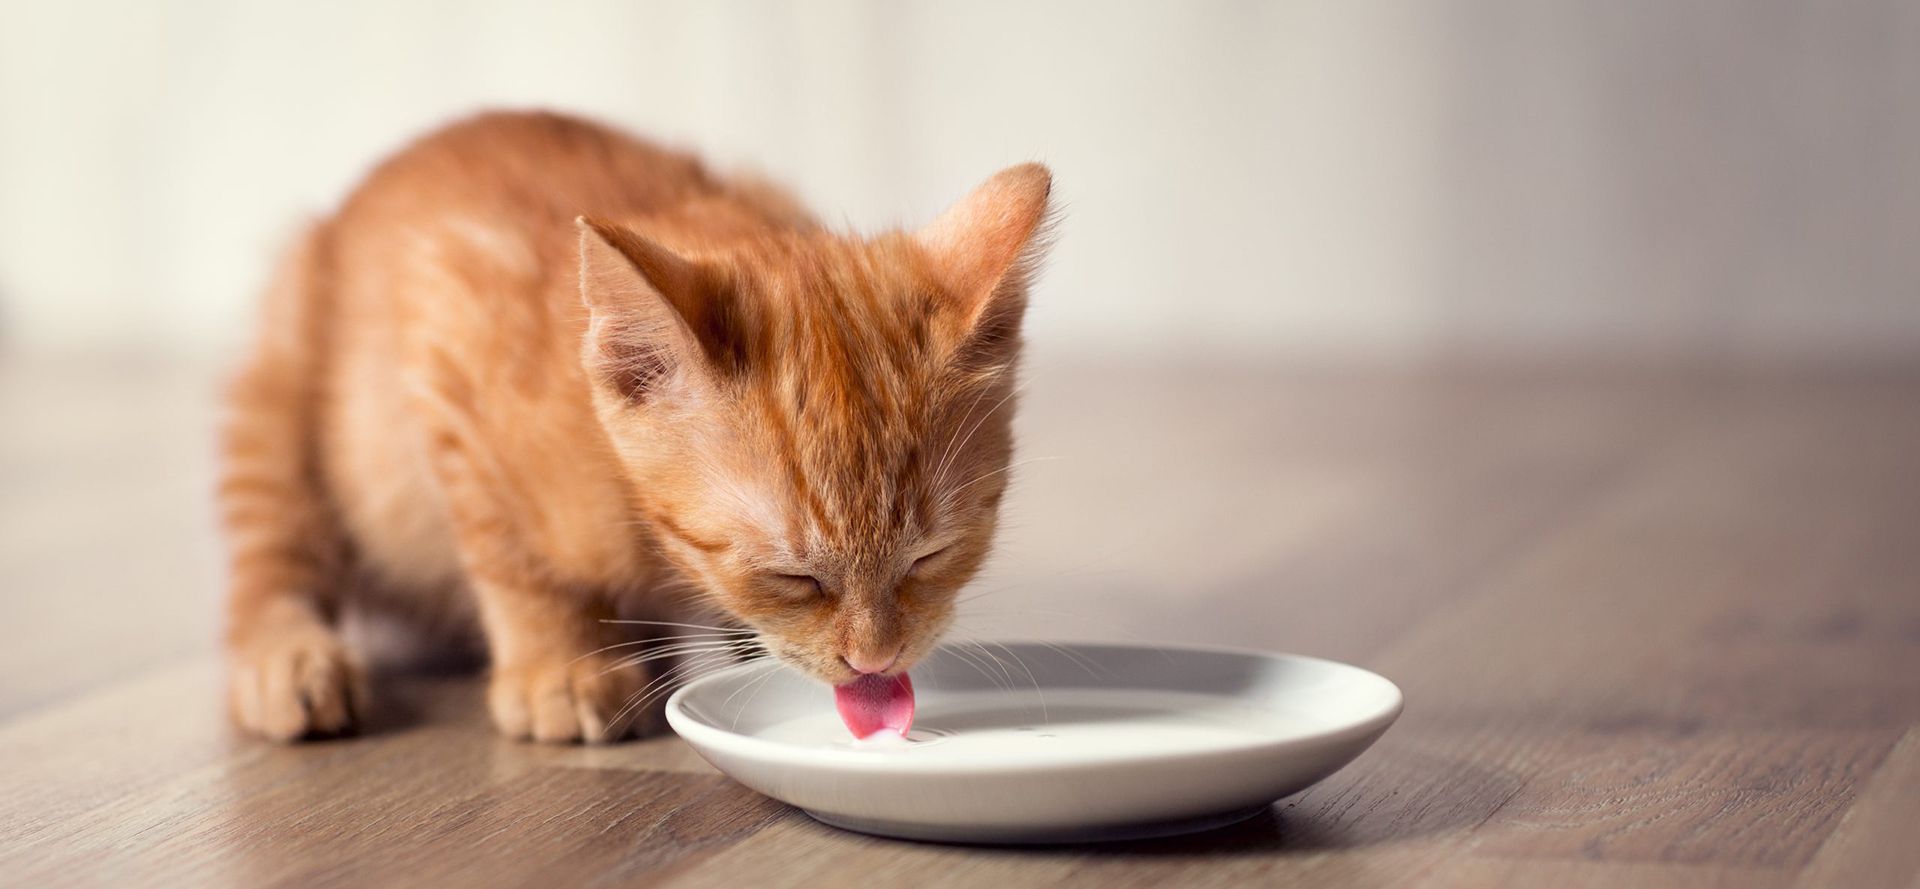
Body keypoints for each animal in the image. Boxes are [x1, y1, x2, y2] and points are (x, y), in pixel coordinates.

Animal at [220, 114, 1052, 748]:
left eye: (933, 554)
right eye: (792, 575)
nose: (875, 659)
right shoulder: (445, 326)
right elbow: (510, 552)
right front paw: (557, 662)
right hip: (281, 385)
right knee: (269, 560)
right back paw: (290, 660)